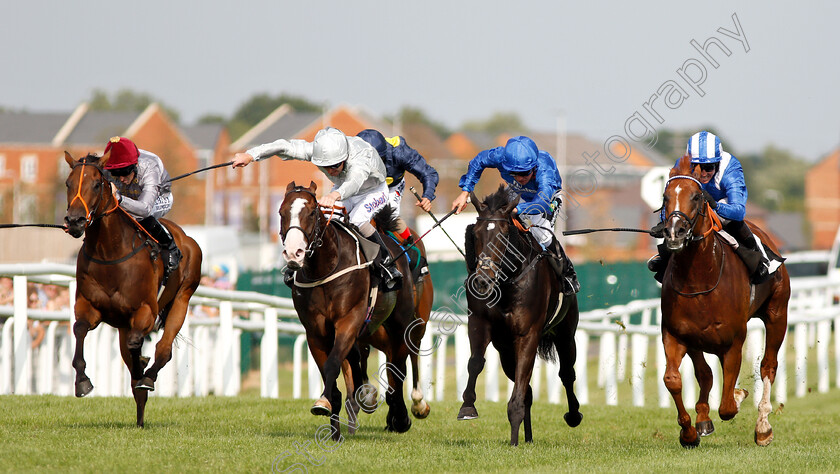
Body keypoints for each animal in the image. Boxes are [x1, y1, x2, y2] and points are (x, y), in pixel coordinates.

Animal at [63, 151, 203, 426]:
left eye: (97, 184)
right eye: (68, 183)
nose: (75, 221)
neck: (110, 252)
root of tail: (187, 238)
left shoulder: (145, 311)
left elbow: (139, 344)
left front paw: (143, 368)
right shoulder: (89, 307)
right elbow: (80, 329)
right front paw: (82, 381)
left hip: (182, 298)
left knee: (163, 351)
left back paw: (147, 375)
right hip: (123, 325)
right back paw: (139, 416)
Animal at [278, 182, 430, 440]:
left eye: (312, 212)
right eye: (281, 213)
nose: (293, 253)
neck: (325, 269)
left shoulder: (348, 321)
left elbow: (333, 363)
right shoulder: (315, 332)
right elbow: (333, 368)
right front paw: (331, 419)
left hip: (404, 324)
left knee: (400, 366)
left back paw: (403, 415)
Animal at [456, 185, 580, 444]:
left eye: (503, 236)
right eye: (476, 235)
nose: (482, 281)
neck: (506, 283)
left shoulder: (527, 334)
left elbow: (524, 381)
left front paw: (514, 433)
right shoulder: (480, 324)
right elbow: (475, 362)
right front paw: (467, 407)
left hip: (566, 334)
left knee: (566, 373)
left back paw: (573, 415)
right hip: (505, 351)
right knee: (529, 391)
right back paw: (528, 437)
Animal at [660, 156, 792, 448]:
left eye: (697, 196)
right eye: (665, 197)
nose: (675, 233)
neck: (699, 280)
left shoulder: (733, 343)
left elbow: (728, 406)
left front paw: (740, 397)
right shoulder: (677, 335)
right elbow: (675, 379)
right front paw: (690, 431)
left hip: (777, 314)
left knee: (768, 366)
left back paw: (763, 426)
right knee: (706, 374)